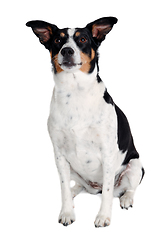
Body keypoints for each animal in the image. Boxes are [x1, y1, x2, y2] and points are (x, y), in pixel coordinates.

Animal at [26, 16, 145, 227]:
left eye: (82, 39)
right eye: (58, 40)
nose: (67, 50)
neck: (75, 91)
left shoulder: (107, 152)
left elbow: (107, 193)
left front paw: (103, 216)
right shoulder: (59, 155)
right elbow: (64, 189)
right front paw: (67, 212)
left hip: (136, 166)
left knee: (127, 188)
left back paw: (126, 199)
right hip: (73, 170)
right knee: (79, 187)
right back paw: (76, 191)